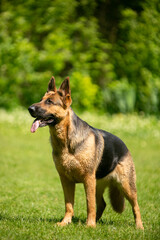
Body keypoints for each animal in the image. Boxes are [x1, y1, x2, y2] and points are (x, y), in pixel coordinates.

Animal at [28, 76, 144, 229]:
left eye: (49, 102)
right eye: (41, 99)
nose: (29, 108)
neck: (66, 142)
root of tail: (125, 146)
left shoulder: (88, 179)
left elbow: (90, 204)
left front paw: (89, 225)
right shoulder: (66, 180)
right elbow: (69, 204)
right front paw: (66, 222)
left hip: (126, 186)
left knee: (135, 206)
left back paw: (139, 226)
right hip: (98, 185)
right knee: (102, 204)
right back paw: (95, 221)